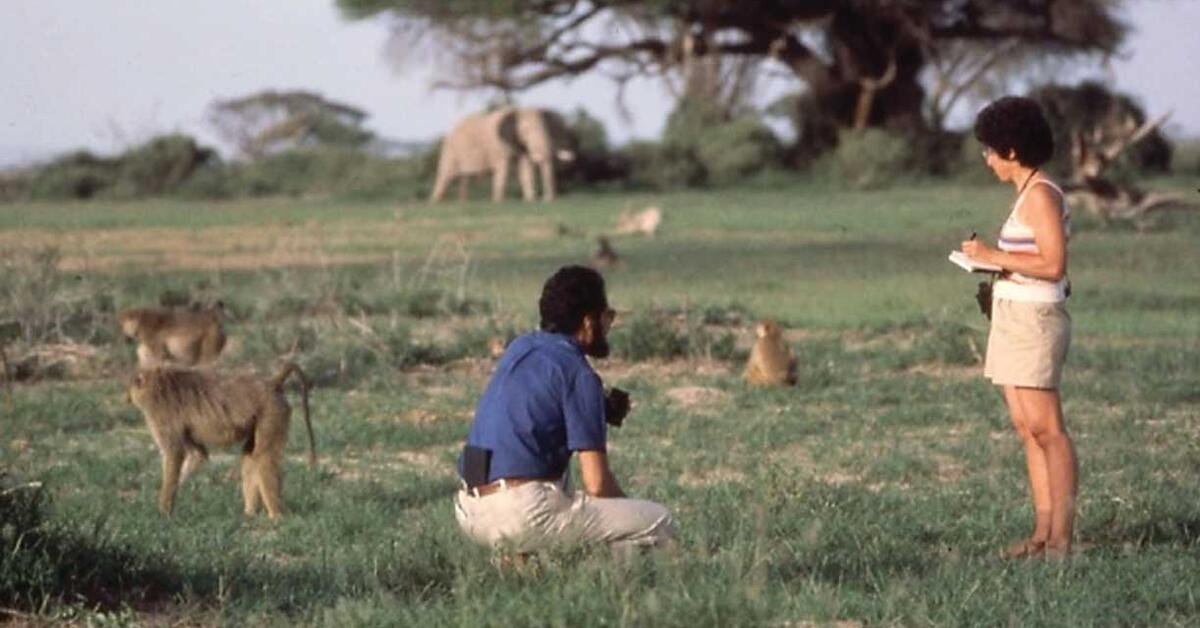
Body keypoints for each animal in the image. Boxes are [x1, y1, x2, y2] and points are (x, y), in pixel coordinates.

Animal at [126, 362, 315, 518]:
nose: (127, 398)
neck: (159, 384)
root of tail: (271, 383)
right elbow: (197, 455)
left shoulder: (161, 415)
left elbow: (173, 454)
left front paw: (164, 509)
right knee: (250, 456)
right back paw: (249, 514)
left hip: (272, 413)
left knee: (263, 457)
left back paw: (276, 516)